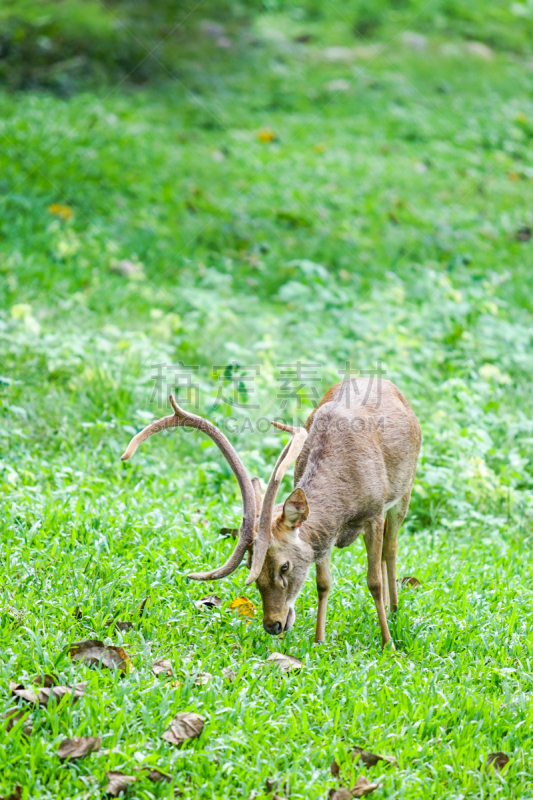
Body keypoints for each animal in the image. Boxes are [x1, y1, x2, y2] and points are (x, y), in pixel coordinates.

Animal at [120, 378, 420, 648]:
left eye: (284, 566)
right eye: (252, 568)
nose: (272, 624)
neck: (345, 501)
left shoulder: (374, 513)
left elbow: (373, 582)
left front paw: (388, 644)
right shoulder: (322, 536)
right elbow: (323, 583)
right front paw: (319, 640)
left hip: (405, 492)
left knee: (391, 548)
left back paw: (394, 611)